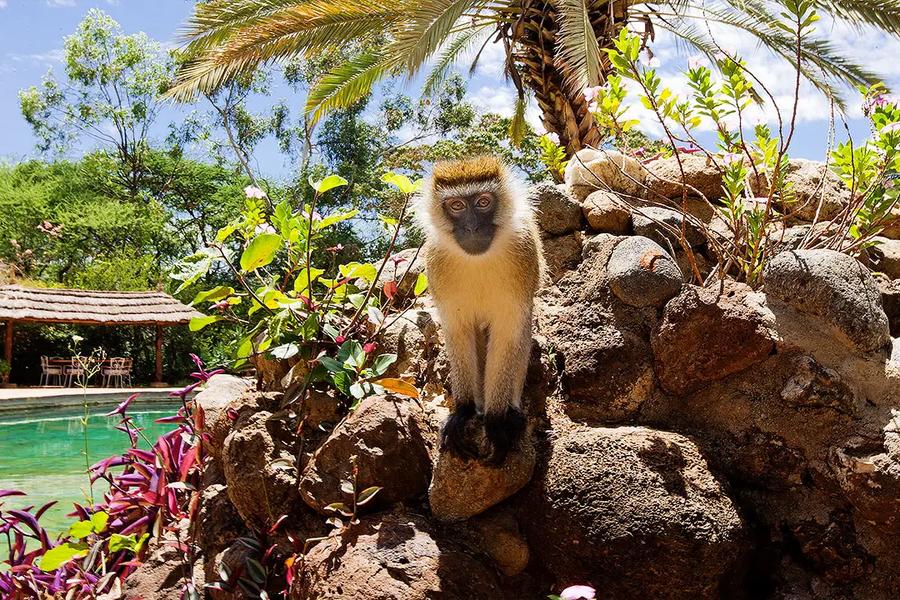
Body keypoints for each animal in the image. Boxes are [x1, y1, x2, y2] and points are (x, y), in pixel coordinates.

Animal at [417, 155, 545, 465]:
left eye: (483, 202)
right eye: (457, 206)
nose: (473, 227)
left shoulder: (523, 254)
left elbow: (508, 334)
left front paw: (496, 420)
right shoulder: (436, 262)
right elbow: (458, 332)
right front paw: (463, 411)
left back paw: (510, 412)